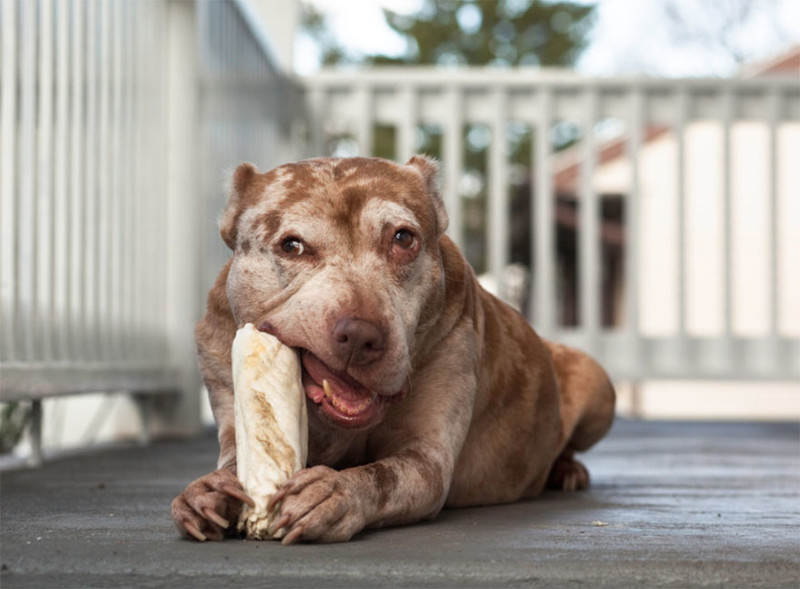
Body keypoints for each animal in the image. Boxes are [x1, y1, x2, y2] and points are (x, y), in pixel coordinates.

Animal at [172, 155, 616, 544]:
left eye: (402, 238)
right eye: (292, 246)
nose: (360, 335)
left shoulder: (426, 460)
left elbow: (384, 475)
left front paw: (336, 491)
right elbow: (236, 462)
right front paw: (207, 491)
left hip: (597, 387)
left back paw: (566, 470)